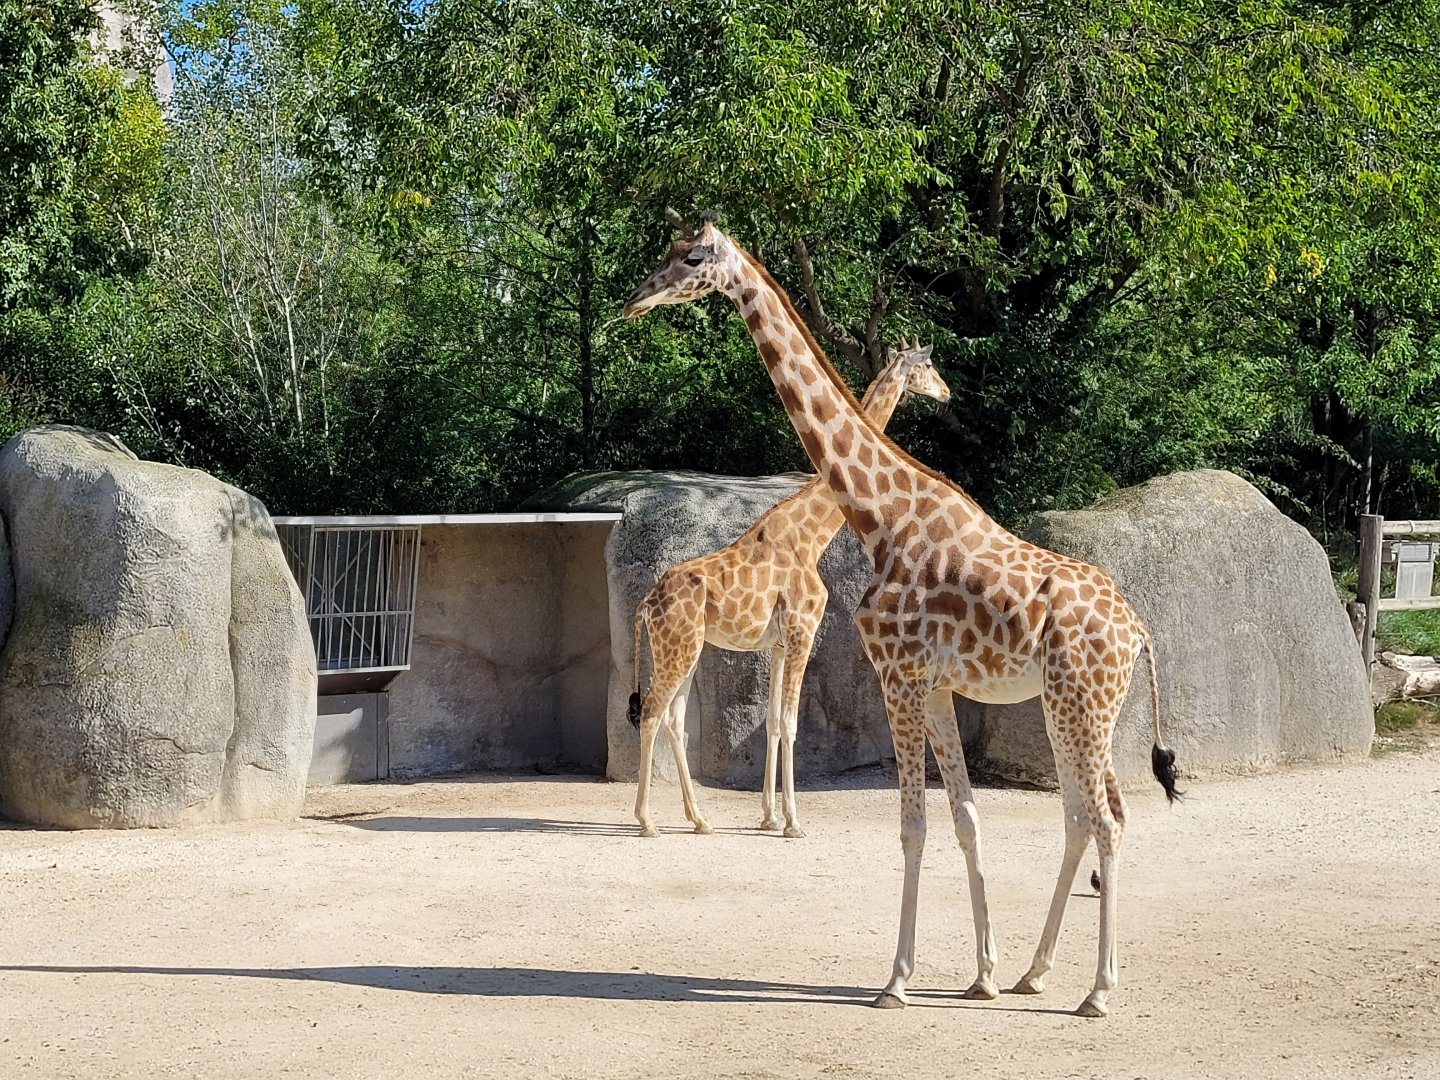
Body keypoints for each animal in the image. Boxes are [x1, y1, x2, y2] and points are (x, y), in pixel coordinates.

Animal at [628, 340, 952, 840]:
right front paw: (793, 822)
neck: (813, 535)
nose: (947, 393)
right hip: (678, 648)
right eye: (929, 366)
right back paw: (646, 821)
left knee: (673, 719)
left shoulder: (779, 643)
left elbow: (772, 724)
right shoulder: (803, 631)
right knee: (649, 713)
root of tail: (645, 604)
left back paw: (699, 819)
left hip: (686, 649)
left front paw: (769, 815)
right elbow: (790, 722)